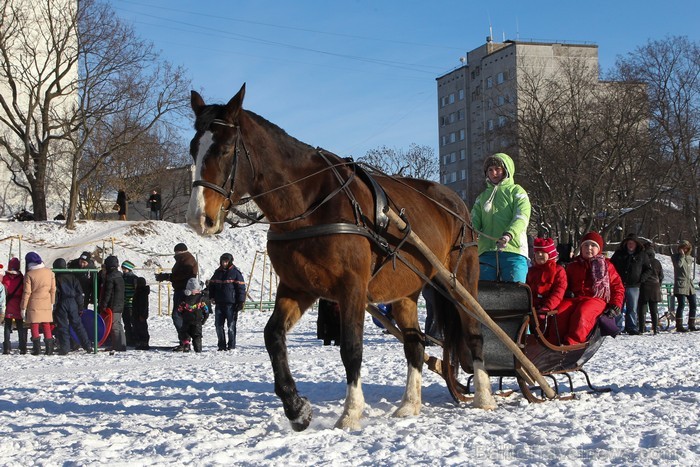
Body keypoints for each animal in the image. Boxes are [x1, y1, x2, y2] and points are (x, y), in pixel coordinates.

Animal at [183, 83, 494, 432]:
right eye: (193, 150)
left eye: (224, 150)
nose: (199, 218)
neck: (310, 205)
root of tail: (456, 202)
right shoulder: (298, 288)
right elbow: (273, 336)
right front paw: (296, 408)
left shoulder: (352, 288)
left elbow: (351, 348)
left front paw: (351, 412)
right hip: (407, 292)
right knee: (415, 344)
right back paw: (409, 405)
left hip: (460, 282)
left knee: (475, 334)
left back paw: (484, 397)